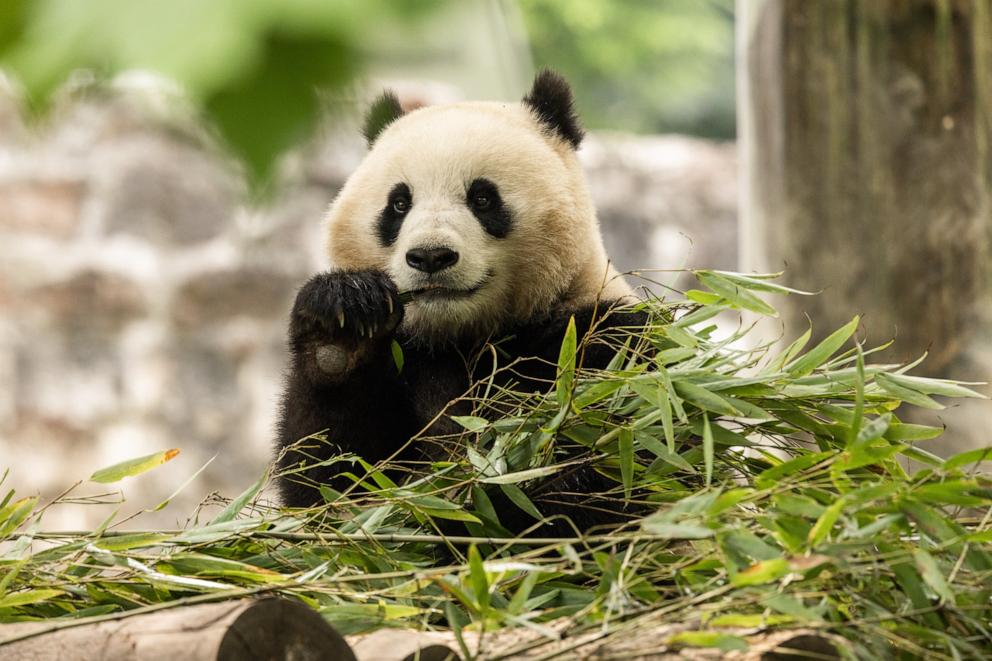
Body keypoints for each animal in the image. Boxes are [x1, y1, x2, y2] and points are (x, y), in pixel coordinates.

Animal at [276, 71, 648, 536]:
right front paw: (342, 325)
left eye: (483, 198)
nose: (431, 256)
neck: (463, 336)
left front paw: (467, 510)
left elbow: (609, 465)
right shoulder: (406, 360)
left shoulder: (601, 341)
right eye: (399, 203)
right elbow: (328, 479)